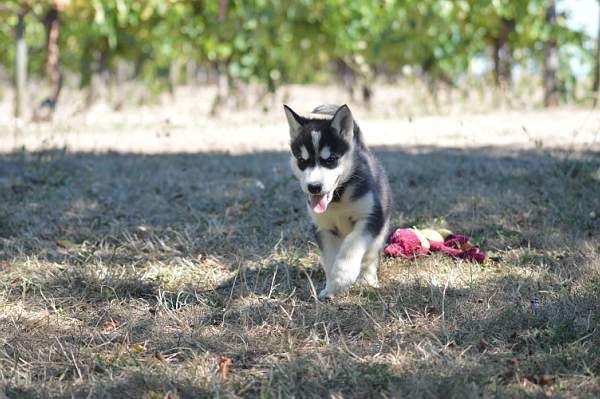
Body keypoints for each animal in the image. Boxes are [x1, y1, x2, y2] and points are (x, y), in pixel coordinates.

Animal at [284, 104, 392, 298]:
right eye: (302, 160)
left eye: (331, 159)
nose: (314, 187)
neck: (337, 199)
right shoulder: (323, 228)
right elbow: (329, 259)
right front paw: (331, 288)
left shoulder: (370, 218)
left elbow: (352, 244)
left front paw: (343, 275)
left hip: (380, 232)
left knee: (370, 257)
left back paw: (368, 280)